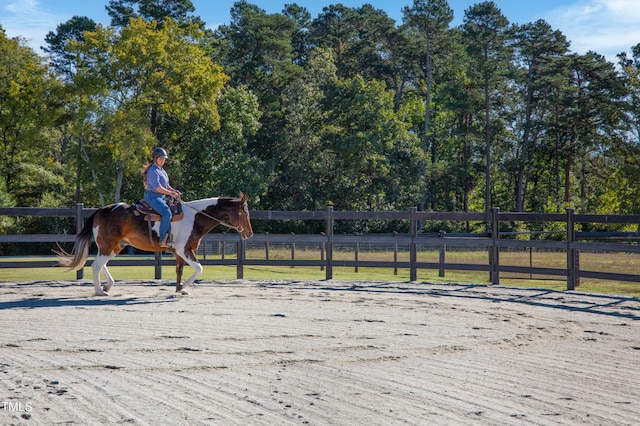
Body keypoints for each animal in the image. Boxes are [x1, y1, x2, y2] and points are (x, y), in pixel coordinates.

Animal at [57, 194, 252, 296]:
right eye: (243, 213)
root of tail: (101, 210)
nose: (249, 233)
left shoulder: (180, 252)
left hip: (115, 246)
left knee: (101, 264)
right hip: (107, 246)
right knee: (96, 265)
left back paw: (107, 285)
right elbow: (199, 269)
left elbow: (179, 270)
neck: (195, 217)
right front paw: (183, 288)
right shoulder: (184, 250)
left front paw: (179, 289)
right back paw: (100, 291)